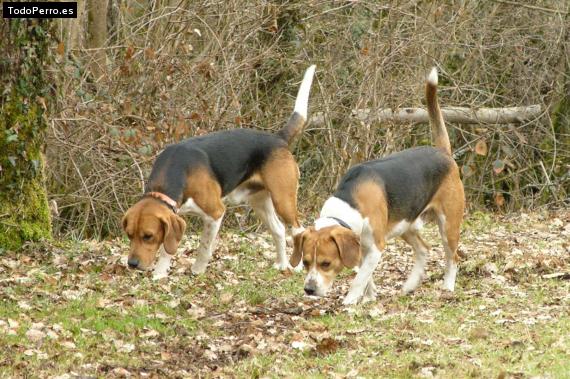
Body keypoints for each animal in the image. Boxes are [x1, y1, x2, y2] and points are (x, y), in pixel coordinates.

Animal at [122, 64, 316, 280]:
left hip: (283, 200)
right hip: (260, 201)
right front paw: (160, 273)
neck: (177, 170)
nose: (132, 264)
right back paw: (281, 264)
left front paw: (197, 270)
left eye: (148, 236)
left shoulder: (215, 213)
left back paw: (296, 267)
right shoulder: (174, 216)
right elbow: (167, 249)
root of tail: (278, 138)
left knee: (298, 230)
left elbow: (204, 247)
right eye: (129, 235)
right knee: (279, 230)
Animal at [290, 68, 464, 306]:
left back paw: (448, 287)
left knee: (452, 257)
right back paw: (410, 285)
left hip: (448, 225)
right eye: (306, 262)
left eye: (326, 263)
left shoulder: (375, 248)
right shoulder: (363, 247)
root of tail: (443, 153)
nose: (309, 289)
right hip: (406, 224)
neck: (351, 203)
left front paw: (350, 302)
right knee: (423, 250)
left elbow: (360, 277)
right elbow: (366, 276)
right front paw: (369, 297)